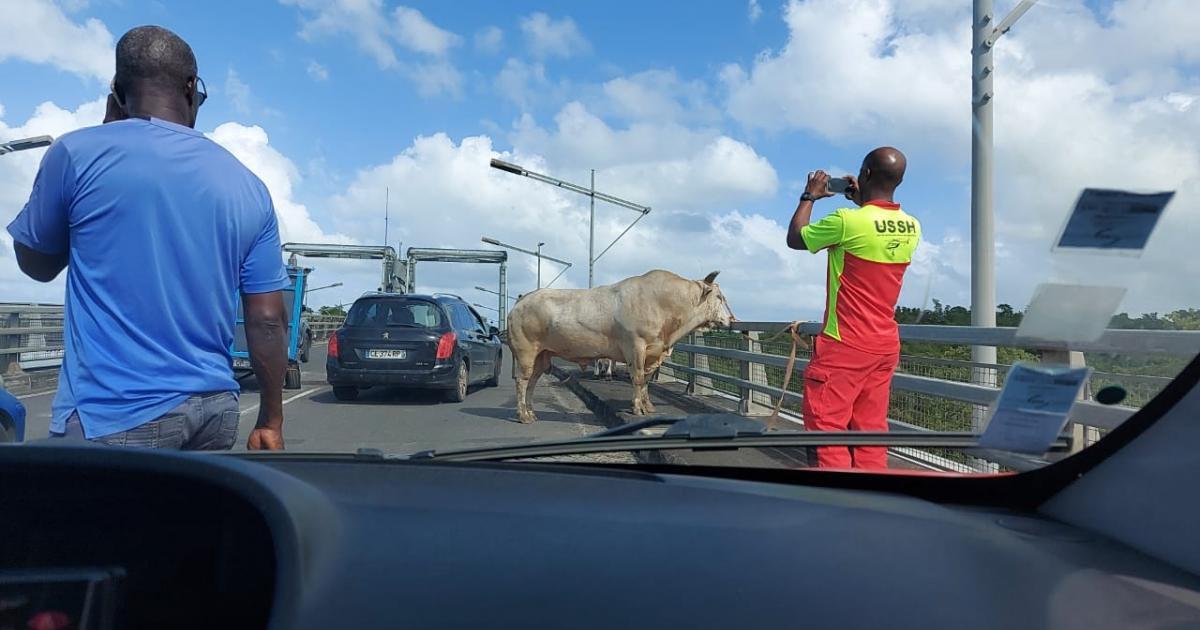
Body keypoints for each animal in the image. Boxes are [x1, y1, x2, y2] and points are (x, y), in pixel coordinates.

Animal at [506, 268, 729, 422]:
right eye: (719, 297)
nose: (730, 319)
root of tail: (522, 301)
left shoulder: (653, 353)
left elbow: (647, 380)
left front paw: (648, 406)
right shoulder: (636, 346)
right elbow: (638, 378)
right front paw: (638, 409)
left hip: (542, 355)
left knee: (532, 381)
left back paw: (531, 412)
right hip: (526, 352)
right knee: (522, 381)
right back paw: (523, 415)